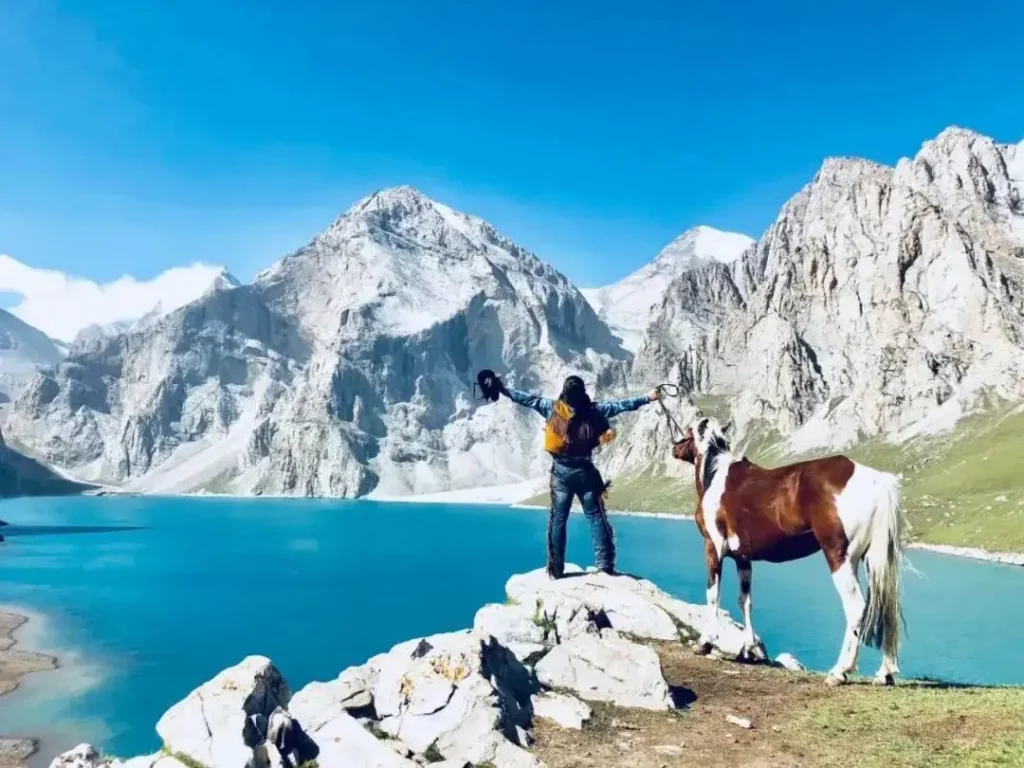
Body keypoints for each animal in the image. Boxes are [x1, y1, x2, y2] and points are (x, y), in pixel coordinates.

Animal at [672, 415, 907, 686]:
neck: (716, 476)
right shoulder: (743, 558)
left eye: (688, 431)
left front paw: (705, 643)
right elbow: (745, 601)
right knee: (886, 606)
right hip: (873, 559)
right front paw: (748, 651)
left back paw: (839, 671)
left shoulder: (712, 547)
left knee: (856, 607)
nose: (674, 447)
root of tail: (874, 479)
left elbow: (713, 594)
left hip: (839, 556)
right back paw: (884, 673)